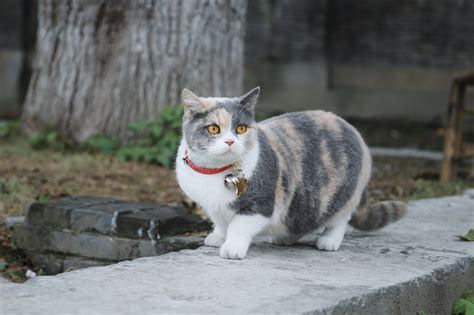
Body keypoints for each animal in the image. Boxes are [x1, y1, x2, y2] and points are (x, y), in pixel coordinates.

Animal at [176, 87, 406, 260]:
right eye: (213, 129)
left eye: (241, 129)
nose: (231, 141)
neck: (214, 172)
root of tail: (352, 129)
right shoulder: (212, 206)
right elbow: (221, 222)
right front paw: (217, 237)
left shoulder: (261, 203)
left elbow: (239, 225)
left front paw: (232, 247)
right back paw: (284, 237)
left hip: (343, 194)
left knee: (341, 217)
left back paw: (329, 240)